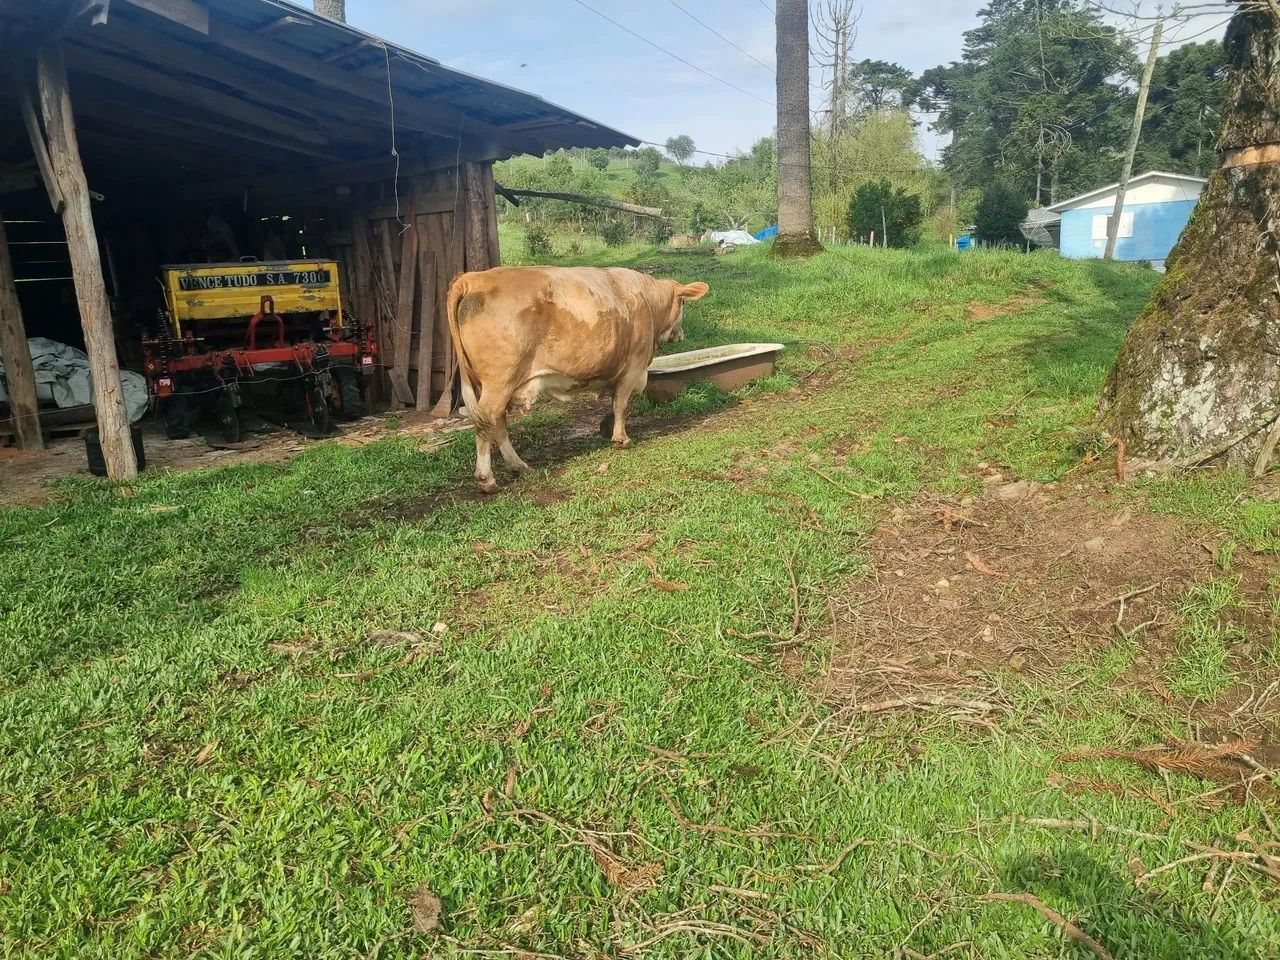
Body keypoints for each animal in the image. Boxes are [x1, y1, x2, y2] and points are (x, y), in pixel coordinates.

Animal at [446, 266, 710, 493]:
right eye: (683, 302)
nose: (681, 335)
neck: (647, 299)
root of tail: (474, 278)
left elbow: (615, 401)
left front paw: (606, 426)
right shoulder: (633, 366)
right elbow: (622, 403)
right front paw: (620, 438)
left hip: (488, 384)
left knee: (496, 421)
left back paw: (519, 465)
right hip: (500, 381)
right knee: (487, 420)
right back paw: (487, 479)